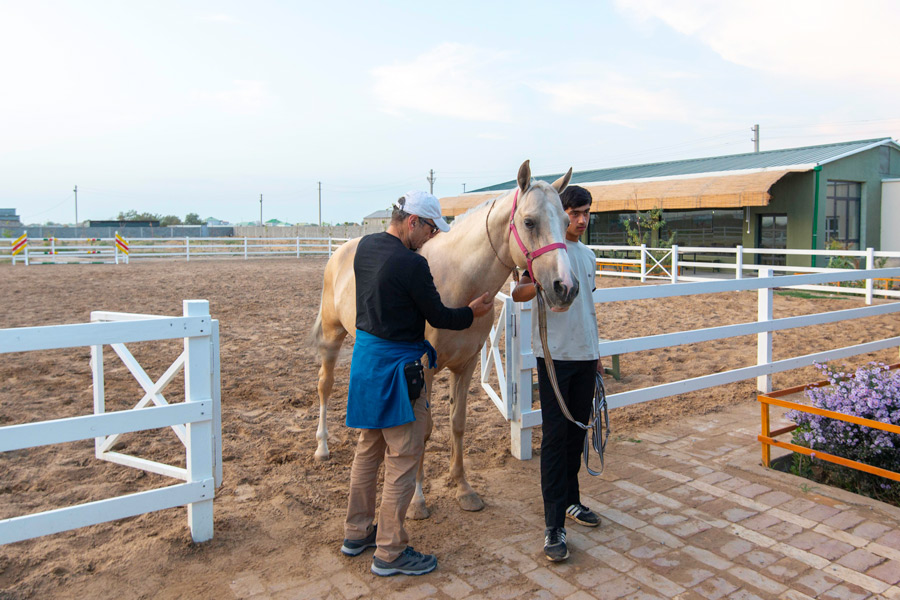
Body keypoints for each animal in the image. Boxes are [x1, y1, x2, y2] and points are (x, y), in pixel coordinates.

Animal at [312, 160, 575, 518]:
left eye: (566, 222)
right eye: (529, 222)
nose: (566, 287)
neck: (457, 282)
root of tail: (339, 252)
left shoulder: (465, 366)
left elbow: (457, 423)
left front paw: (463, 488)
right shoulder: (423, 370)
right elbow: (421, 432)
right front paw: (417, 499)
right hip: (331, 335)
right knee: (325, 386)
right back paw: (322, 447)